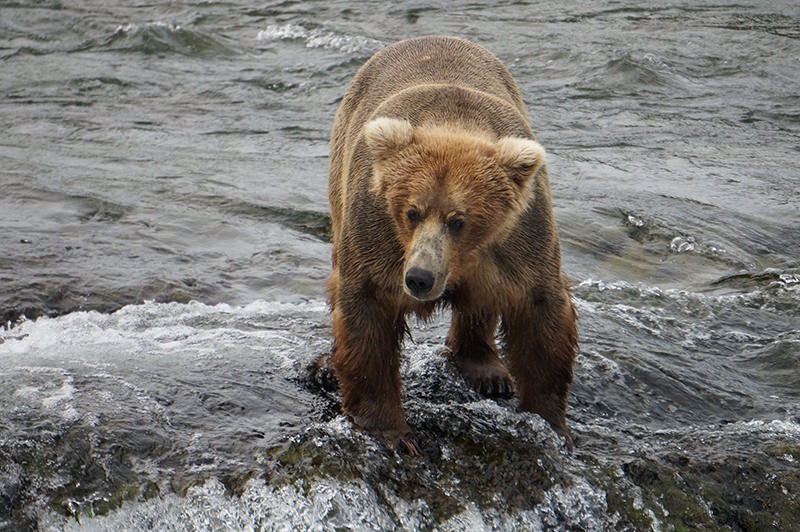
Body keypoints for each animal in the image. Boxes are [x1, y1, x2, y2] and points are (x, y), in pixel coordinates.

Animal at [316, 36, 580, 454]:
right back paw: (326, 367)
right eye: (411, 211)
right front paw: (391, 434)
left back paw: (488, 370)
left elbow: (540, 314)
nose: (419, 277)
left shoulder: (521, 239)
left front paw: (551, 423)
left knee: (482, 303)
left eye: (460, 220)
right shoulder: (378, 234)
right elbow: (367, 317)